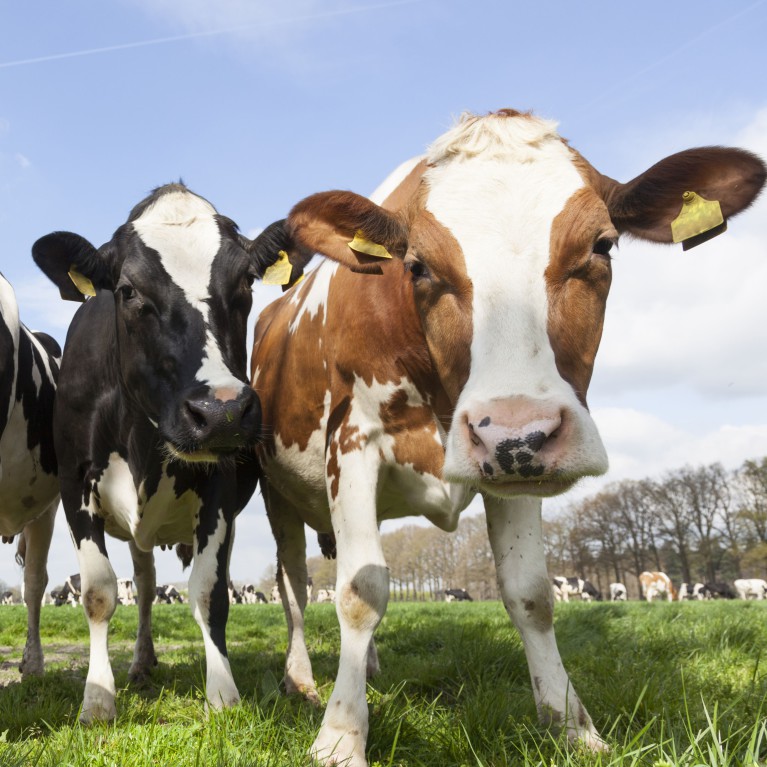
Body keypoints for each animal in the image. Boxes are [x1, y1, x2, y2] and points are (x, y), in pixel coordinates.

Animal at [32, 183, 284, 724]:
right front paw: (98, 700)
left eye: (246, 283)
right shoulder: (75, 484)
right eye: (128, 291)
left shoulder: (220, 489)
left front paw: (223, 693)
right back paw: (140, 665)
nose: (221, 410)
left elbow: (210, 592)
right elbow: (100, 592)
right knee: (144, 585)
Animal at [249, 111, 764, 764]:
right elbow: (359, 592)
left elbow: (531, 593)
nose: (517, 430)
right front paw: (341, 734)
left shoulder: (516, 469)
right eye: (417, 265)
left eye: (602, 245)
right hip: (278, 494)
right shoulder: (354, 442)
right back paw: (303, 683)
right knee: (293, 585)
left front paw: (572, 724)